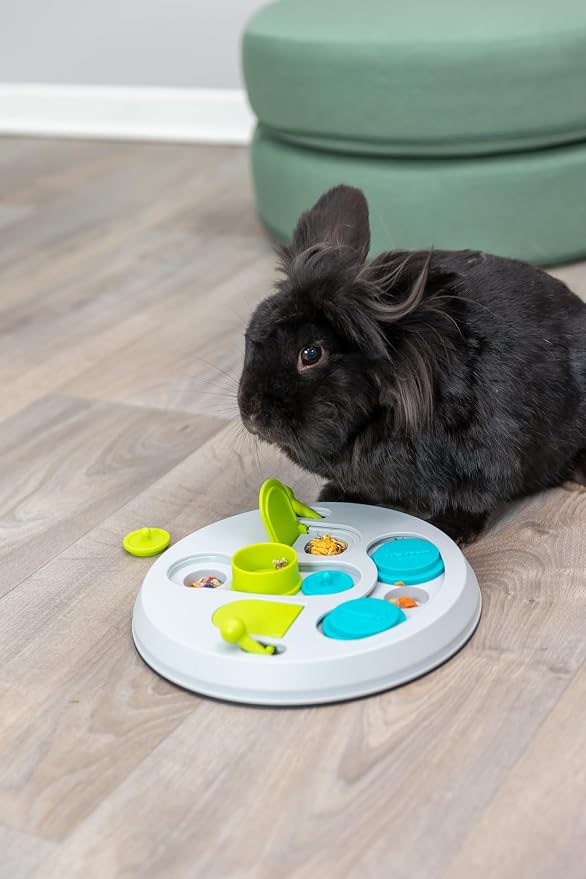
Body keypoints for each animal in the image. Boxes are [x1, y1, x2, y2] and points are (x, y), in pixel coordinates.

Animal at [238, 185, 586, 544]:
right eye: (249, 338)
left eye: (310, 354)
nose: (251, 414)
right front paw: (334, 497)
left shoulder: (488, 458)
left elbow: (473, 501)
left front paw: (452, 531)